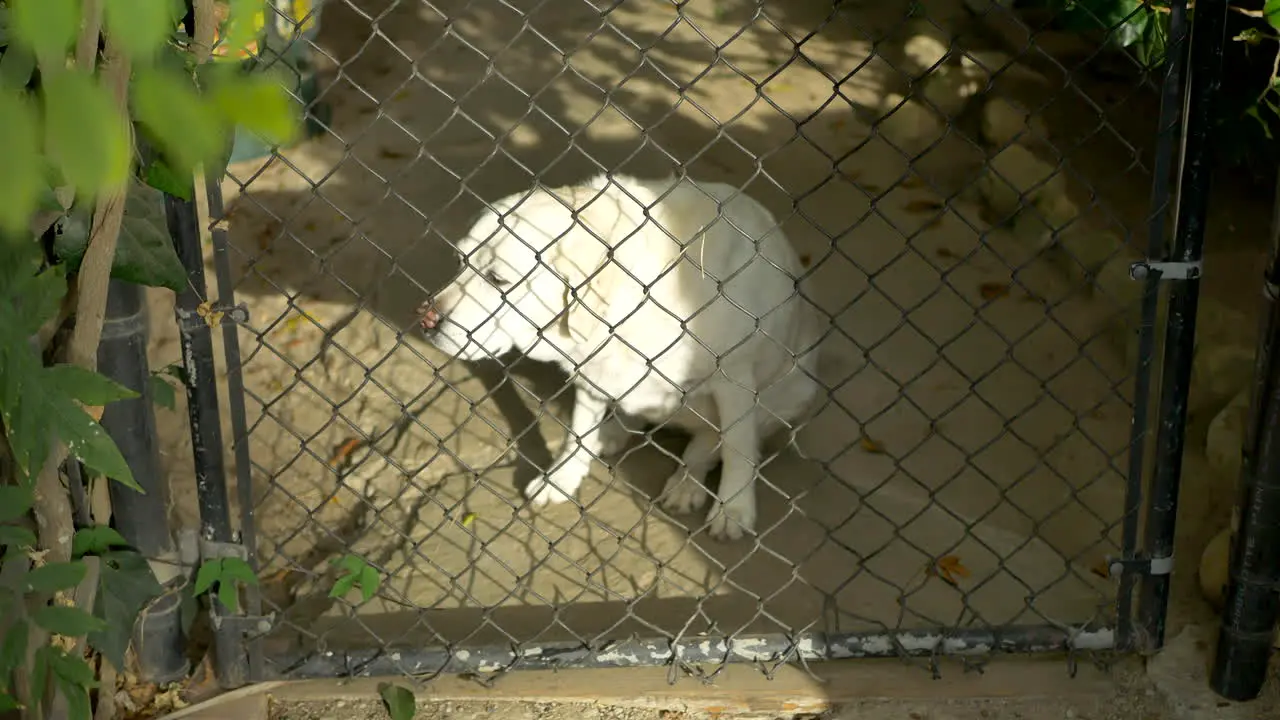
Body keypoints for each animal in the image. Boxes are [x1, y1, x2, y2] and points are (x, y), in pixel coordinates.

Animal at [419, 170, 819, 535]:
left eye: (498, 279)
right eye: (460, 261)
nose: (426, 320)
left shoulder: (734, 377)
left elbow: (737, 447)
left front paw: (733, 508)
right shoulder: (590, 368)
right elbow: (577, 433)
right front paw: (562, 477)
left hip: (795, 389)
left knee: (712, 443)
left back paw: (687, 481)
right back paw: (613, 432)